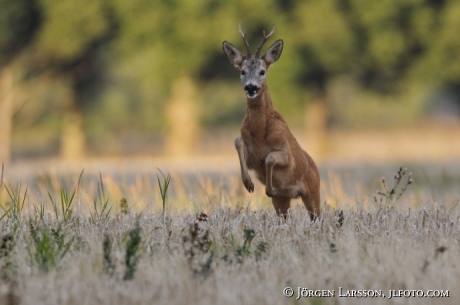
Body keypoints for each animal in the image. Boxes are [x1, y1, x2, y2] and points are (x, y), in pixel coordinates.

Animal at [223, 23, 320, 218]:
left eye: (262, 71)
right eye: (243, 71)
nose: (251, 87)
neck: (260, 133)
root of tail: (316, 169)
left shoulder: (286, 153)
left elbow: (269, 158)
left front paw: (270, 189)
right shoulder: (251, 157)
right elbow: (237, 141)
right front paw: (248, 183)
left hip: (314, 192)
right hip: (283, 201)